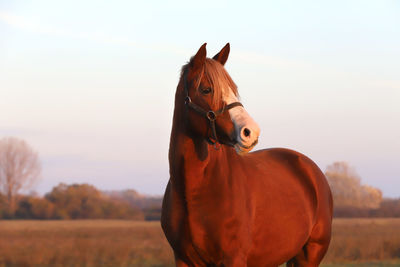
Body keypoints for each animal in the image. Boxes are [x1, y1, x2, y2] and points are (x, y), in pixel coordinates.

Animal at [161, 43, 332, 266]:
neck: (194, 191)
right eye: (206, 90)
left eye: (234, 90)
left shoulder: (234, 258)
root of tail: (311, 169)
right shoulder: (183, 259)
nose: (251, 131)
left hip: (310, 253)